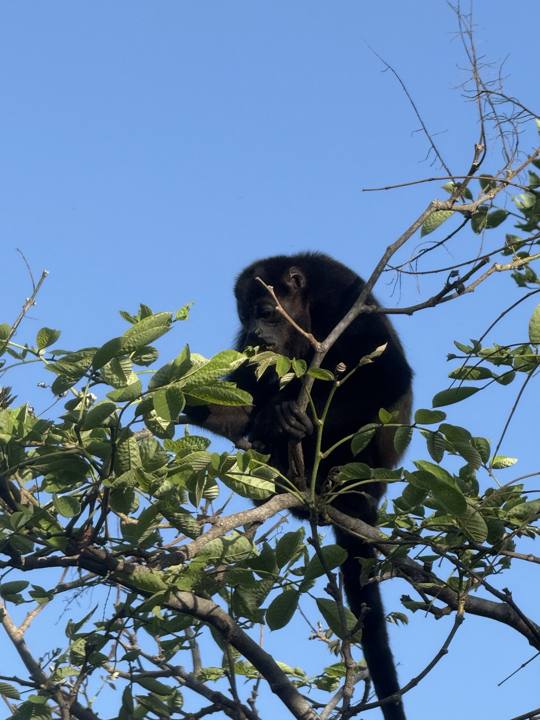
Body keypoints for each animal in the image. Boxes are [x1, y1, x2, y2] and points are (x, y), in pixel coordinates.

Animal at [186, 253, 412, 720]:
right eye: (246, 315)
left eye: (266, 311)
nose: (257, 333)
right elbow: (241, 389)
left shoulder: (344, 298)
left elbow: (388, 374)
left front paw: (290, 416)